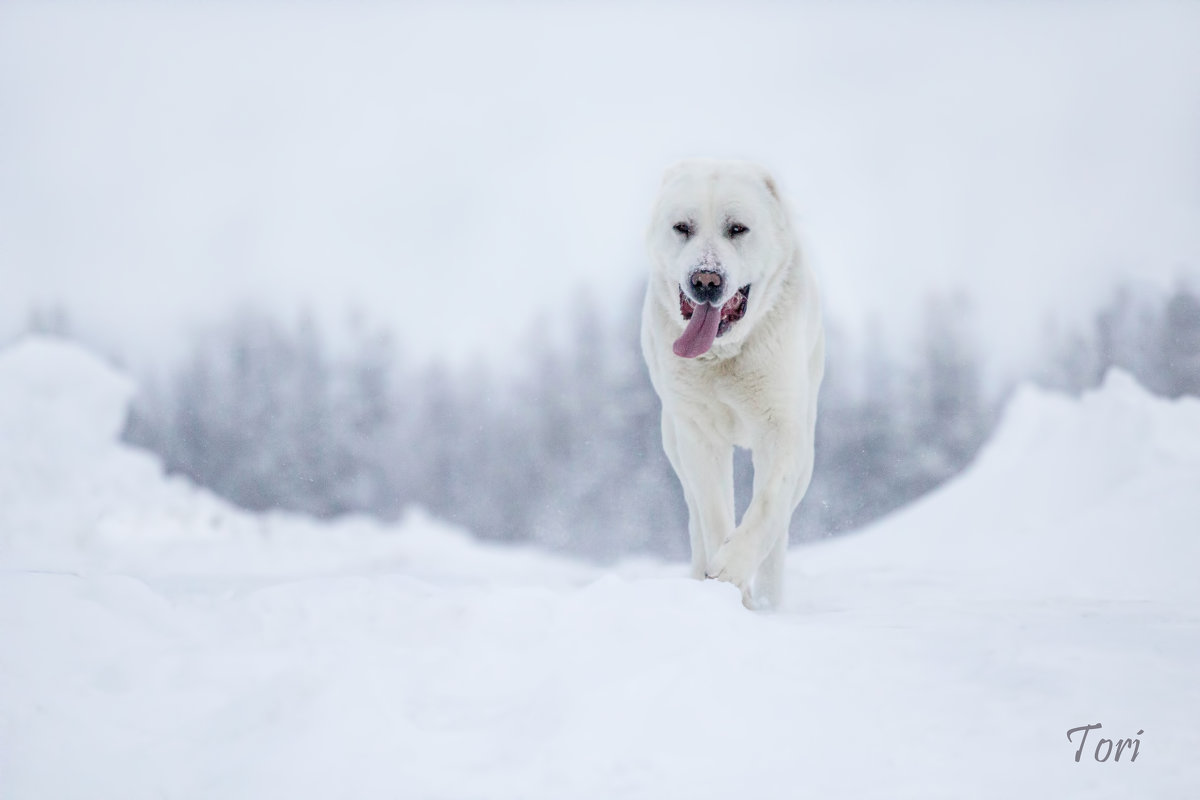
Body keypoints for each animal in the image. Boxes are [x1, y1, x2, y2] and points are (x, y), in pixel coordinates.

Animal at [638, 160, 825, 614]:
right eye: (682, 227)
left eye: (737, 229)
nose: (705, 280)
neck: (725, 356)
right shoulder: (698, 435)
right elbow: (715, 512)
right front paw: (724, 589)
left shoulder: (782, 429)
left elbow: (768, 505)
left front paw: (731, 570)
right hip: (674, 442)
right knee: (696, 517)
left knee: (779, 529)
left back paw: (771, 601)